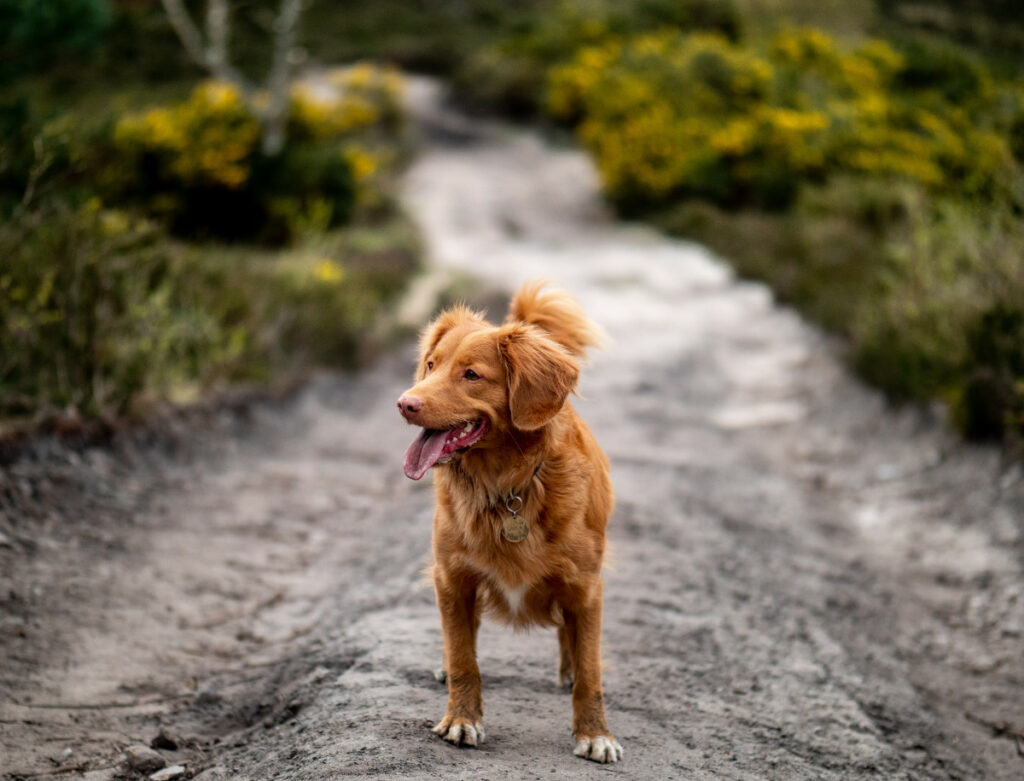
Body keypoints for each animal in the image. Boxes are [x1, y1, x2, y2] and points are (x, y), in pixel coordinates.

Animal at [393, 280, 618, 765]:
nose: (405, 403)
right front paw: (461, 719)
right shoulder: (452, 577)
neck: (506, 487)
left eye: (471, 375)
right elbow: (464, 658)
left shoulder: (586, 586)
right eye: (431, 365)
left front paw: (595, 734)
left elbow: (591, 670)